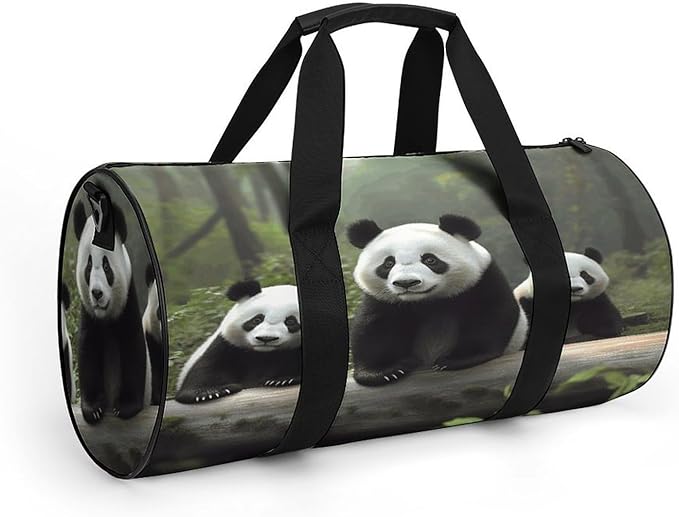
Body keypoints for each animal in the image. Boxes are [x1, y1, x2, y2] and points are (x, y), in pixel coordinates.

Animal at [73, 200, 151, 424]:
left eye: (107, 266)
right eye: (89, 266)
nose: (97, 293)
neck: (105, 318)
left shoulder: (128, 304)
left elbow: (133, 347)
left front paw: (125, 406)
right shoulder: (89, 315)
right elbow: (87, 349)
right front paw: (93, 408)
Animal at [347, 214, 528, 387]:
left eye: (430, 260)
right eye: (388, 263)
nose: (406, 283)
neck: (426, 301)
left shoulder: (481, 280)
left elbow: (488, 316)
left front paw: (459, 358)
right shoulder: (383, 300)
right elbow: (374, 329)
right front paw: (383, 371)